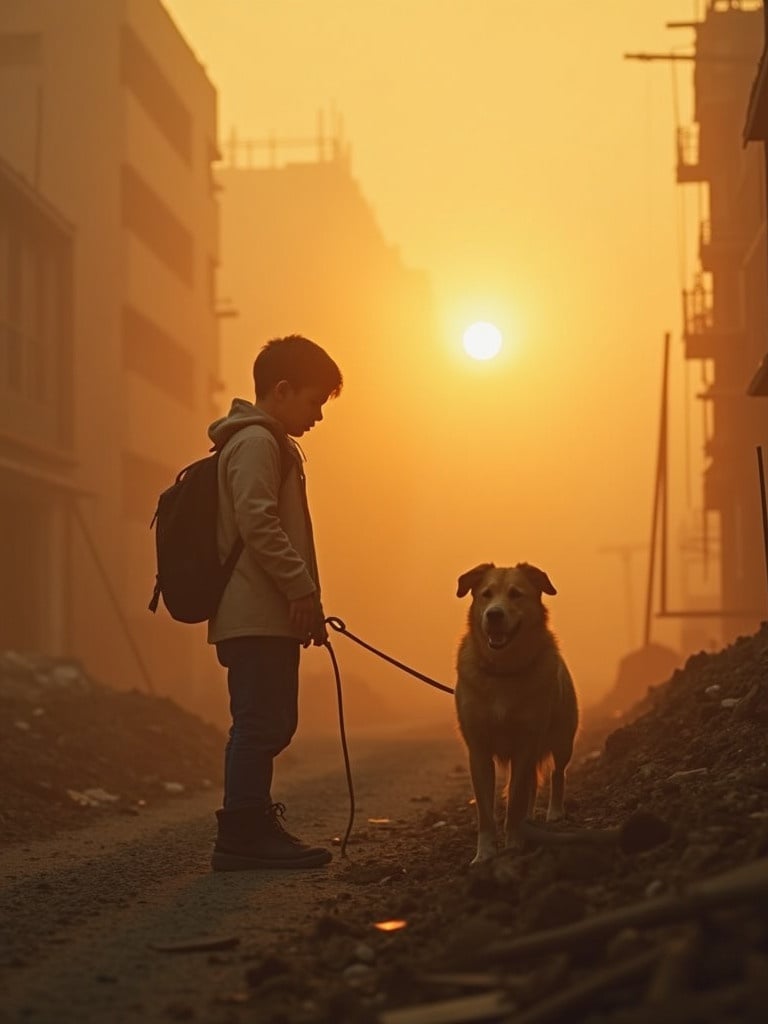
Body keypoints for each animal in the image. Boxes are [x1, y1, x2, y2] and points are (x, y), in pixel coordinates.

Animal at [456, 565, 577, 860]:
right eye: (486, 594)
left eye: (516, 594)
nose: (494, 614)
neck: (503, 672)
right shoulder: (479, 751)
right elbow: (485, 811)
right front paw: (485, 853)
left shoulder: (526, 744)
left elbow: (516, 799)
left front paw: (513, 844)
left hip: (562, 741)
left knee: (557, 774)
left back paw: (554, 812)